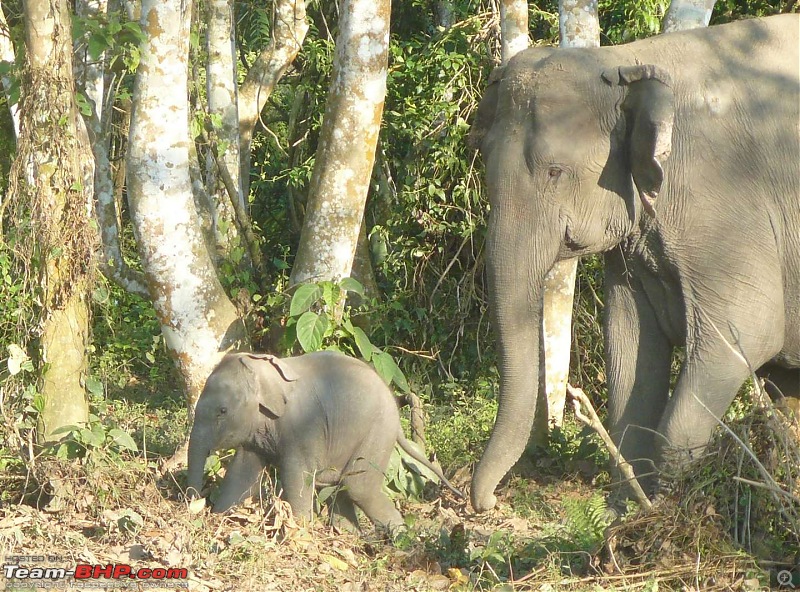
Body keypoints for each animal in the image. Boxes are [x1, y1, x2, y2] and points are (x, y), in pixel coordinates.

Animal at [185, 350, 460, 528]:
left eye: (222, 411)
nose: (194, 504)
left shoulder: (304, 427)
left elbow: (297, 477)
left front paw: (298, 529)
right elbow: (242, 474)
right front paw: (220, 517)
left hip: (378, 430)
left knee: (359, 488)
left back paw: (400, 540)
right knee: (341, 488)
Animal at [468, 15, 800, 512]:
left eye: (554, 172)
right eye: (485, 167)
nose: (487, 502)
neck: (627, 60)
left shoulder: (725, 205)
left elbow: (750, 329)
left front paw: (666, 507)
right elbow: (630, 346)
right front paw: (623, 512)